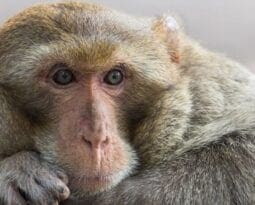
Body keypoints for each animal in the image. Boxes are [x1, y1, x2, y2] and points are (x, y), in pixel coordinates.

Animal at [0, 1, 255, 205]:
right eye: (63, 76)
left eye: (114, 76)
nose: (96, 136)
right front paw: (18, 170)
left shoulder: (208, 88)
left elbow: (244, 144)